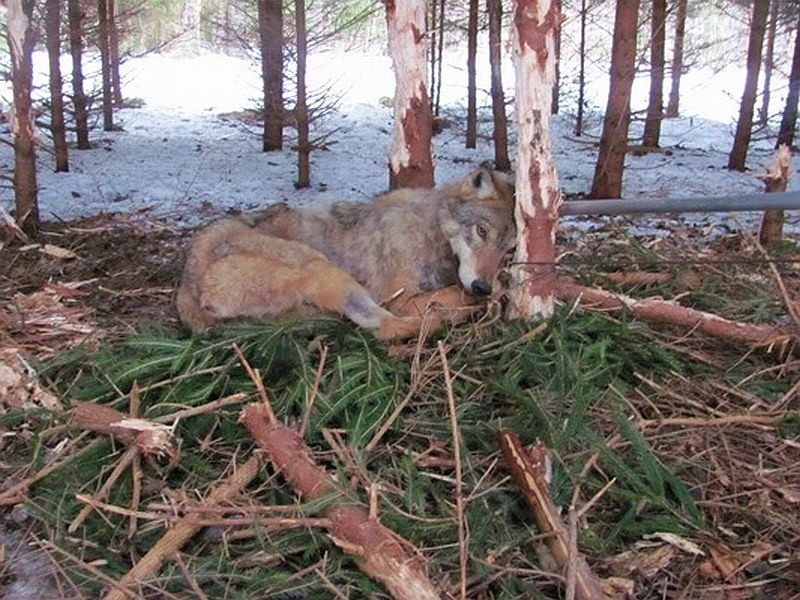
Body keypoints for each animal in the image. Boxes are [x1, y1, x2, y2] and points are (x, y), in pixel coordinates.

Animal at [177, 166, 516, 340]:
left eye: (509, 249)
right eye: (481, 232)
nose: (482, 286)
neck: (431, 230)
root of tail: (186, 283)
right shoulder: (398, 298)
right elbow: (454, 294)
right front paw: (487, 297)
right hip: (324, 270)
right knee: (386, 328)